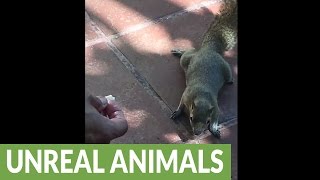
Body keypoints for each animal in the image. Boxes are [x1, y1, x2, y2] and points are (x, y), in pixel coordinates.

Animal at [171, 0, 236, 139]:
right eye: (191, 118)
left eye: (207, 121)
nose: (197, 133)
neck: (202, 96)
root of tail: (210, 48)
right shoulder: (186, 95)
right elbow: (180, 104)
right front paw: (177, 112)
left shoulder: (215, 107)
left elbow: (216, 117)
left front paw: (214, 129)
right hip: (186, 60)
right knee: (188, 53)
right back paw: (180, 52)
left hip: (226, 70)